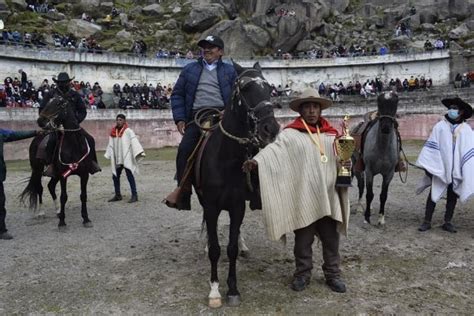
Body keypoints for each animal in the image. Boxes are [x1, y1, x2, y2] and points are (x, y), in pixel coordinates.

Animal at [20, 95, 94, 228]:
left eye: (58, 104)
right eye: (47, 102)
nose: (40, 121)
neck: (74, 146)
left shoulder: (84, 174)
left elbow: (83, 195)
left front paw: (86, 219)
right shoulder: (64, 175)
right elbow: (63, 197)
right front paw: (62, 222)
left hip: (54, 174)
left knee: (50, 186)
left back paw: (58, 211)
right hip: (38, 170)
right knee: (39, 188)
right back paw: (42, 212)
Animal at [197, 62, 280, 308]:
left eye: (269, 88)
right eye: (244, 88)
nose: (270, 129)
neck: (226, 159)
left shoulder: (237, 206)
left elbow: (231, 248)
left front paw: (233, 289)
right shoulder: (212, 206)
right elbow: (216, 249)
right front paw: (214, 291)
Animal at [354, 91, 398, 225]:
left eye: (395, 103)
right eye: (379, 102)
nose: (385, 127)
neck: (382, 148)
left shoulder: (389, 174)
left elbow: (383, 195)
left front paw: (381, 218)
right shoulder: (369, 171)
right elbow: (369, 194)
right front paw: (366, 217)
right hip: (357, 168)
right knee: (361, 186)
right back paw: (359, 208)